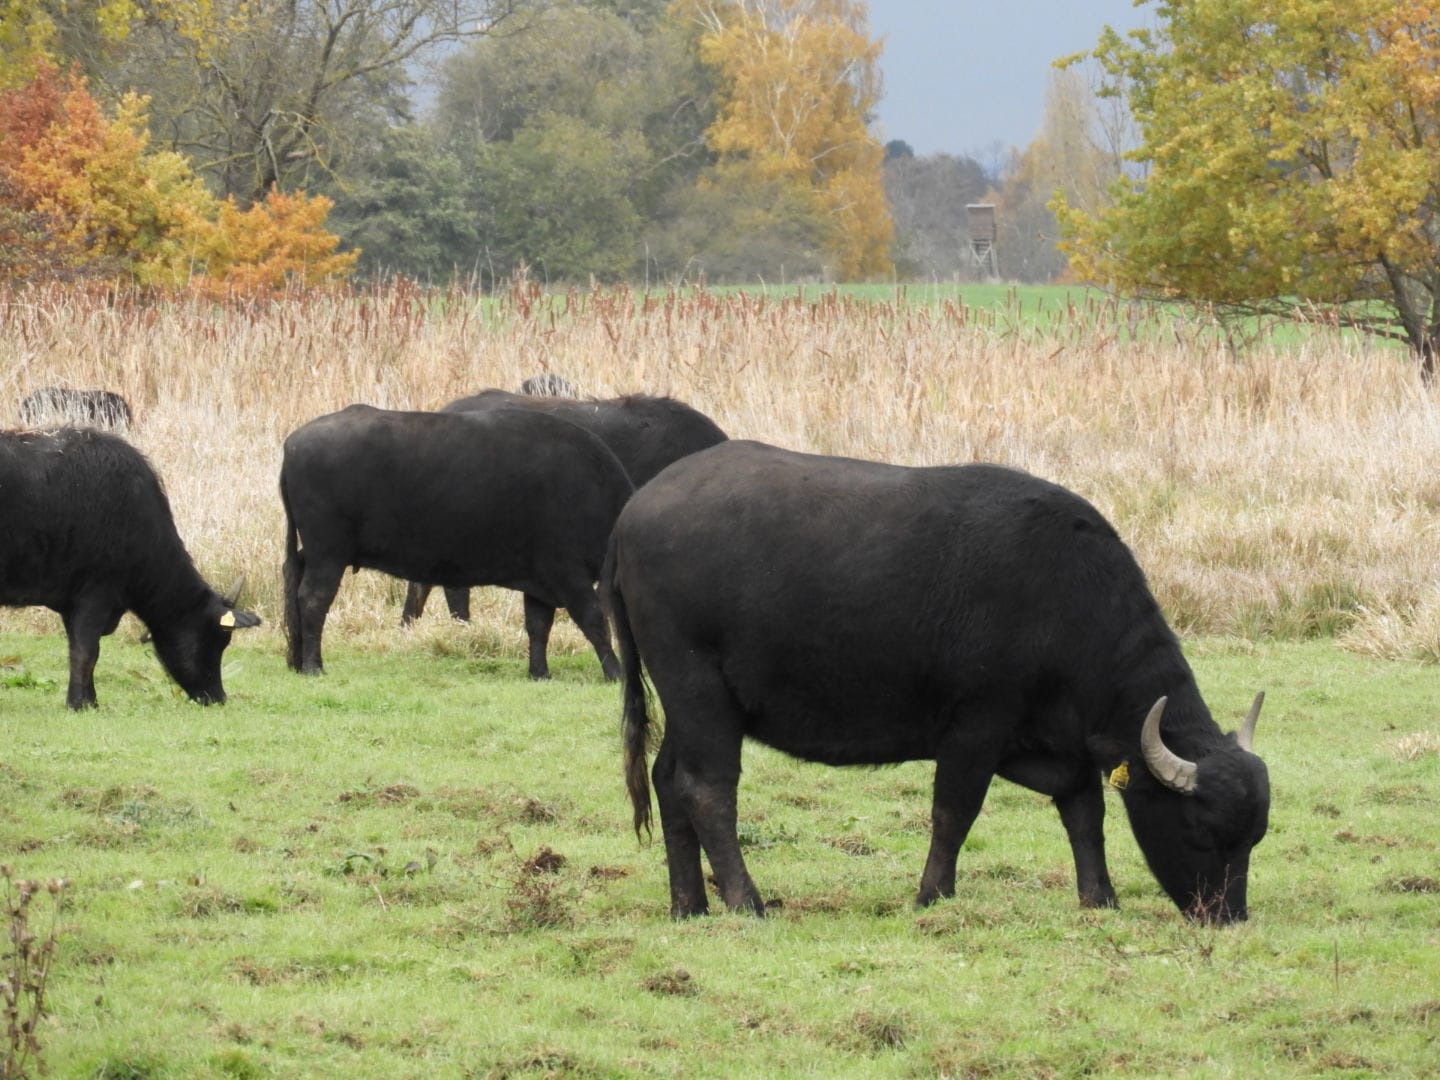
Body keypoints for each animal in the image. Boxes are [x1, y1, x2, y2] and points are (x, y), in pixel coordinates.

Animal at [0, 426, 262, 714]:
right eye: (217, 640)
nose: (217, 697)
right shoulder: (94, 597)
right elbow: (86, 652)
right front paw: (80, 703)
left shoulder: (73, 605)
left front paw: (88, 699)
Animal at [283, 403, 633, 679]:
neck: (592, 491)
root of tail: (293, 444)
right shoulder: (566, 572)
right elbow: (594, 620)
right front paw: (615, 672)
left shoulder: (541, 583)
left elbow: (538, 627)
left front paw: (539, 673)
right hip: (328, 552)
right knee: (312, 599)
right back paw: (314, 666)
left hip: (312, 552)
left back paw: (300, 661)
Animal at [607, 443, 1272, 927]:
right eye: (1202, 831)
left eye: (1254, 838)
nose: (1227, 917)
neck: (1062, 596)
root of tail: (634, 510)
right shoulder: (976, 726)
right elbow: (956, 810)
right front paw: (933, 895)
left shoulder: (1049, 742)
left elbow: (1084, 809)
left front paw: (1099, 896)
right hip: (698, 690)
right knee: (707, 789)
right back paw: (747, 902)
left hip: (688, 705)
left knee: (667, 780)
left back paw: (688, 905)